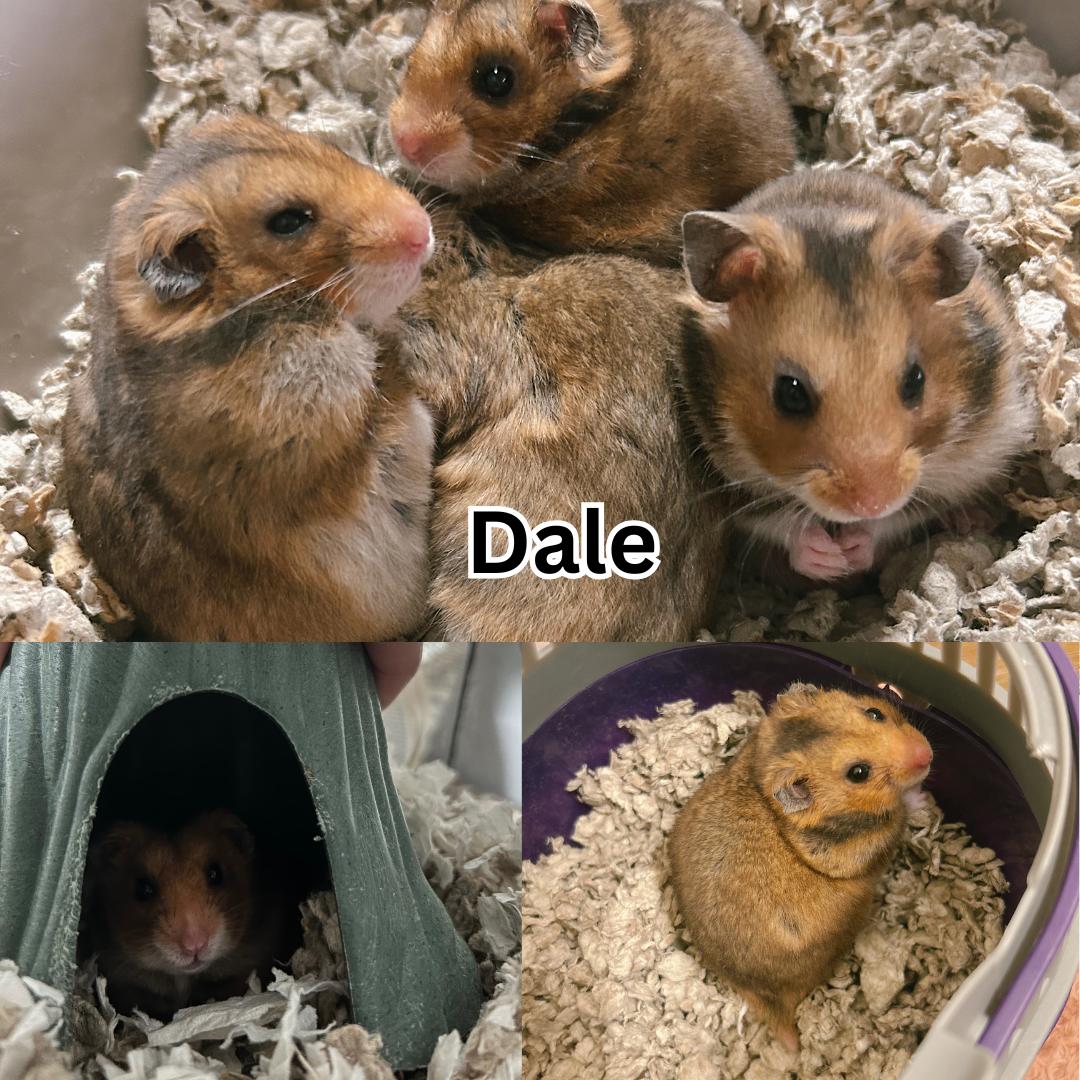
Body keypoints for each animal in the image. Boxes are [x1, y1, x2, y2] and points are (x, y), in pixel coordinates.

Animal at [668, 685, 933, 1051]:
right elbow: (901, 812)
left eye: (875, 713)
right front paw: (921, 799)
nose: (928, 755)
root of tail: (775, 1007)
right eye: (858, 773)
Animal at [678, 168, 1034, 582]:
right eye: (790, 393)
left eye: (915, 380)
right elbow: (778, 523)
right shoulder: (728, 482)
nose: (872, 504)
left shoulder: (957, 463)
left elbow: (905, 513)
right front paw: (829, 559)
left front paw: (853, 549)